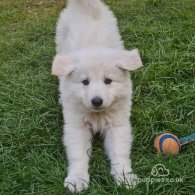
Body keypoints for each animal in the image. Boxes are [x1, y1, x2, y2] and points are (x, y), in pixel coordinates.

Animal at [51, 0, 143, 192]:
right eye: (85, 82)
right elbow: (78, 154)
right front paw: (77, 179)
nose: (96, 101)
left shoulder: (118, 124)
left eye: (108, 81)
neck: (98, 113)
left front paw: (125, 176)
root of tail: (83, 6)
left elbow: (119, 151)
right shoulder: (76, 126)